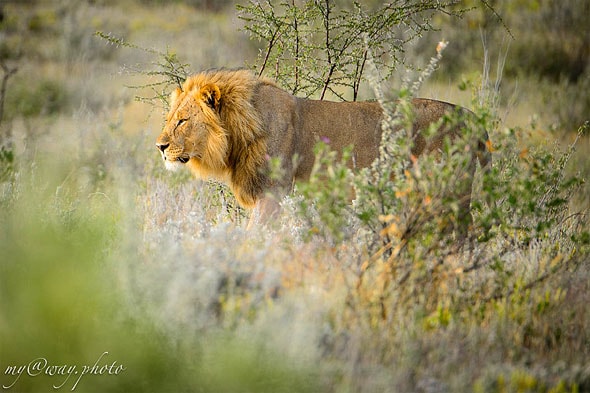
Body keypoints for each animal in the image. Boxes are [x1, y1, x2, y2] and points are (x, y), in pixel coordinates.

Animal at [155, 69, 492, 230]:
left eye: (182, 121)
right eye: (169, 119)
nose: (160, 146)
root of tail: (470, 116)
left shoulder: (272, 193)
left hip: (449, 192)